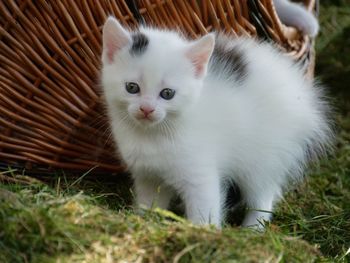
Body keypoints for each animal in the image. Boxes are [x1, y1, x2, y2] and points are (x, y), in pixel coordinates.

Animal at [100, 18, 332, 229]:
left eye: (167, 93)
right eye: (132, 87)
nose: (146, 109)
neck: (154, 134)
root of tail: (302, 95)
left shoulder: (200, 173)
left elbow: (205, 207)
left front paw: (203, 232)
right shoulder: (148, 176)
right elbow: (149, 201)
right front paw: (143, 220)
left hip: (263, 156)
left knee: (264, 194)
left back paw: (252, 230)